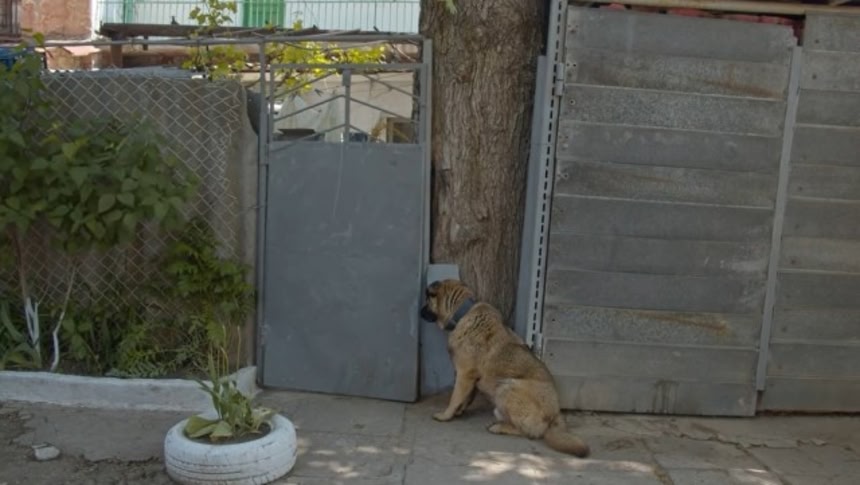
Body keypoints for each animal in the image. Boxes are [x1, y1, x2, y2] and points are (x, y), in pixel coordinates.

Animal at [420, 279, 589, 457]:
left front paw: (445, 415)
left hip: (506, 387)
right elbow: (466, 398)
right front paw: (459, 411)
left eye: (427, 298)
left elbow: (455, 398)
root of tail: (556, 414)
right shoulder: (470, 378)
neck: (462, 313)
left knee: (530, 432)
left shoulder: (464, 374)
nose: (420, 312)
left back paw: (499, 428)